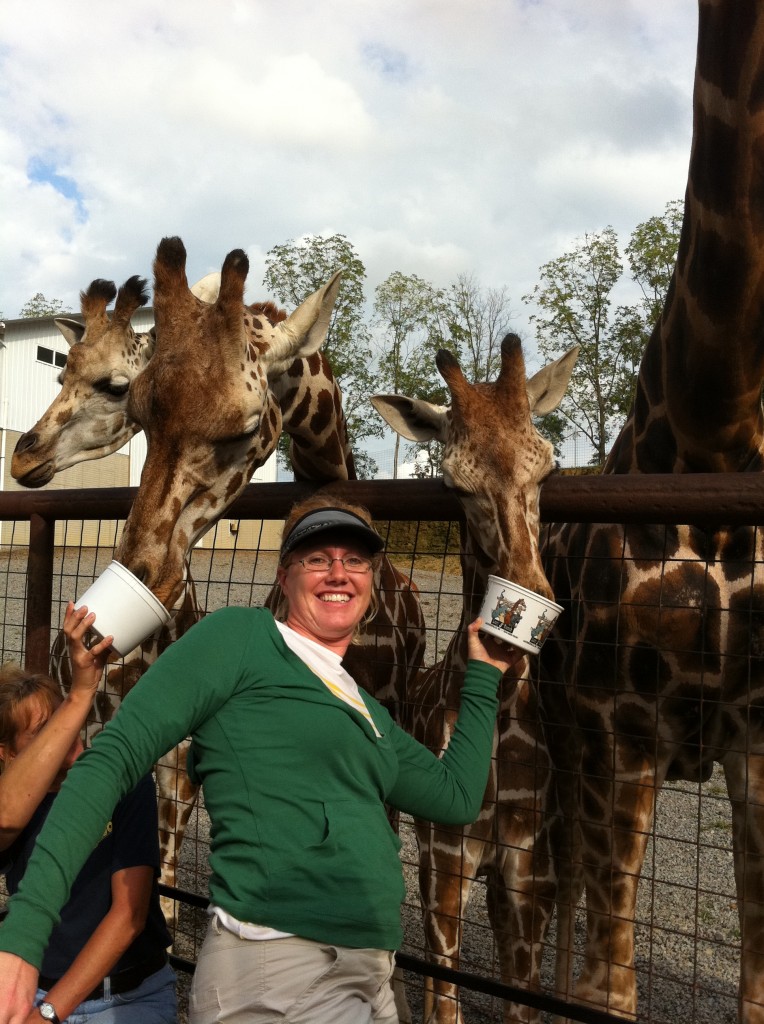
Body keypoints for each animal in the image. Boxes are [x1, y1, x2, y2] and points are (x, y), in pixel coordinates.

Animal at [372, 333, 573, 1024]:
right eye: (456, 484)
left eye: (548, 469)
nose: (531, 594)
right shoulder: (446, 858)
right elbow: (445, 1000)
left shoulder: (528, 869)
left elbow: (520, 1003)